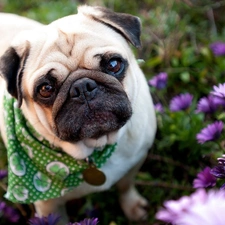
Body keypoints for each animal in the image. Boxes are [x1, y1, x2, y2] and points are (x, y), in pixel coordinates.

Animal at [0, 4, 156, 223]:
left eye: (113, 64)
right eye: (45, 89)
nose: (82, 87)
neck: (95, 148)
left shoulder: (135, 161)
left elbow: (126, 186)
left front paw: (133, 207)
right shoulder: (49, 207)